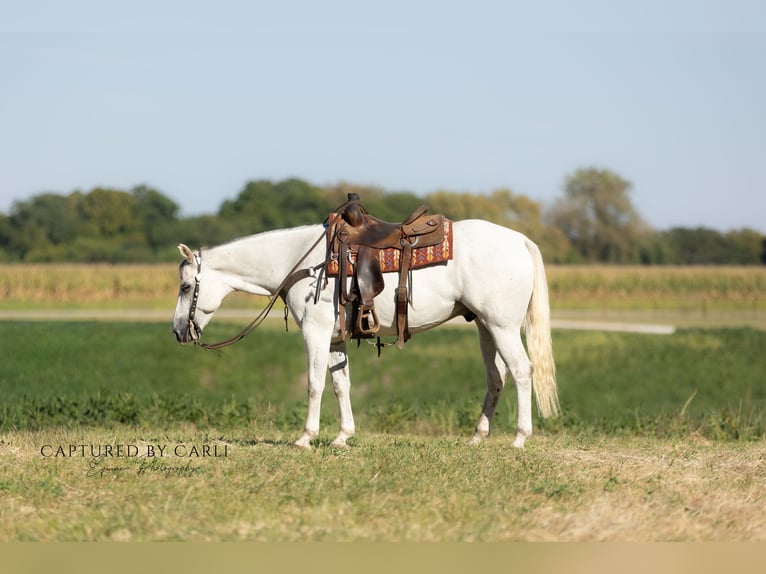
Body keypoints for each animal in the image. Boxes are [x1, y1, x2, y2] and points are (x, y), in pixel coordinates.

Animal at [172, 219, 559, 449]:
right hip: (484, 327)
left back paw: (520, 439)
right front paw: (343, 436)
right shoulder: (335, 338)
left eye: (185, 286)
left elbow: (314, 384)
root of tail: (520, 240)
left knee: (521, 372)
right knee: (496, 378)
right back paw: (477, 437)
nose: (177, 331)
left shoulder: (315, 332)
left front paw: (306, 437)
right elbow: (341, 385)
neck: (303, 263)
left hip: (502, 327)